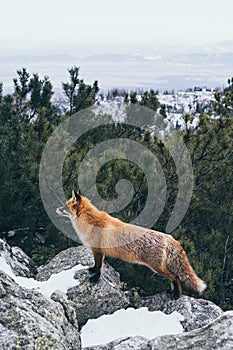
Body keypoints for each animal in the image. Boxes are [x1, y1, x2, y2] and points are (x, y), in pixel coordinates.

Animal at [56, 190, 206, 296]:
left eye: (65, 206)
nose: (56, 209)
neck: (89, 222)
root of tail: (170, 238)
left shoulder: (98, 250)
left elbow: (99, 267)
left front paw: (95, 279)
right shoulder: (98, 251)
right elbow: (96, 265)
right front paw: (92, 270)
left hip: (157, 268)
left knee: (176, 277)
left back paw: (177, 295)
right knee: (173, 278)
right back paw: (172, 292)